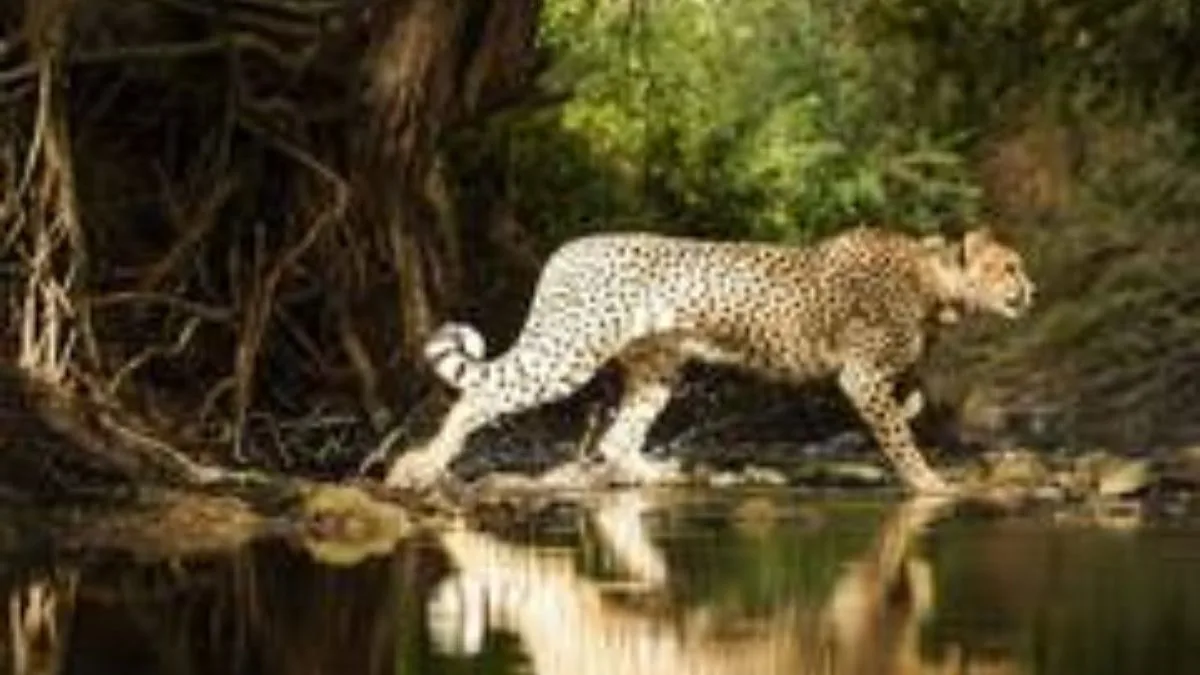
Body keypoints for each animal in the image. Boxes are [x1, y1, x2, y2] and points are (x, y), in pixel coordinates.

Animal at [384, 225, 1035, 494]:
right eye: (1009, 267)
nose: (1031, 290)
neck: (935, 285)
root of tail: (567, 247)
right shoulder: (860, 376)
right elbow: (898, 436)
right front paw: (929, 482)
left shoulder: (876, 376)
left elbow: (909, 405)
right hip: (570, 348)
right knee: (481, 394)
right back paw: (420, 465)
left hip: (656, 365)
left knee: (618, 439)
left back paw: (660, 474)